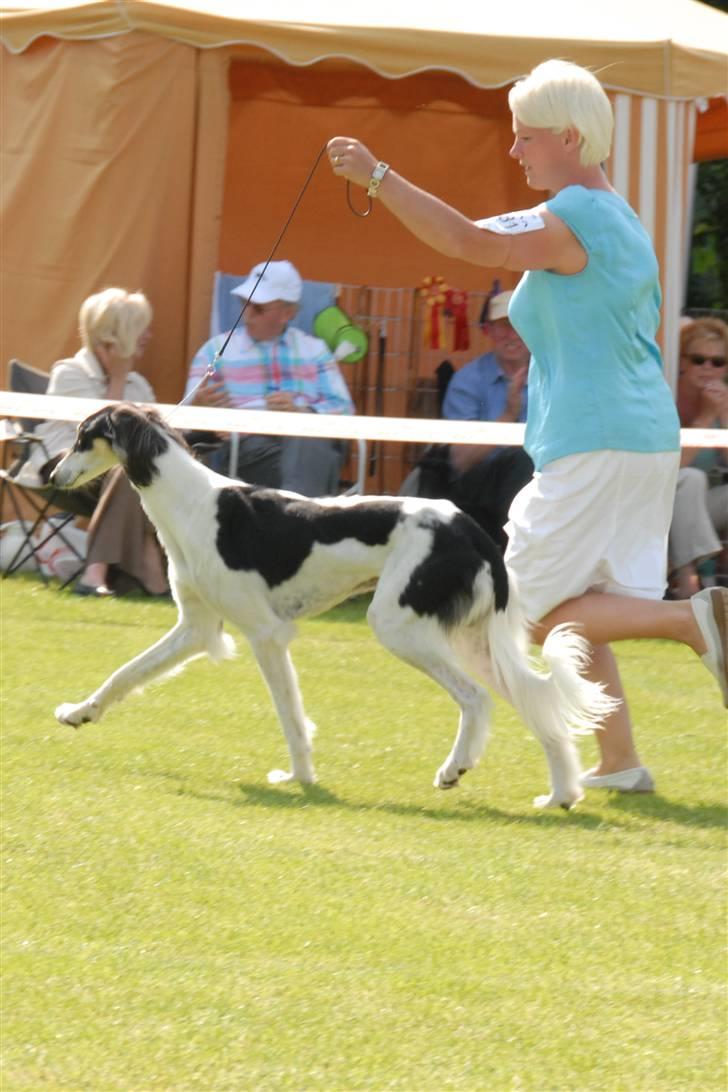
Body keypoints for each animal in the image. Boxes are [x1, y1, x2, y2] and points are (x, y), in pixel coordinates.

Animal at [51, 406, 615, 808]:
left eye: (82, 437)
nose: (53, 475)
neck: (191, 504)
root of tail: (469, 526)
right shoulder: (197, 628)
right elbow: (125, 674)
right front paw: (79, 712)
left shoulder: (266, 633)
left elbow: (290, 717)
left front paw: (299, 777)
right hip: (475, 639)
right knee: (538, 706)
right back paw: (561, 795)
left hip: (398, 625)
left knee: (476, 699)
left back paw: (454, 769)